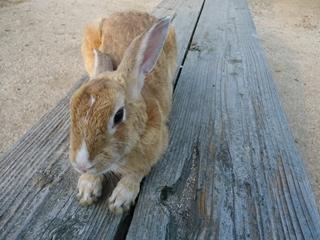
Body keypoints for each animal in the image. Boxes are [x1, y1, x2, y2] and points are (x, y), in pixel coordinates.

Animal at [69, 11, 178, 214]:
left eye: (118, 115)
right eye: (71, 107)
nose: (81, 165)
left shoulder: (156, 149)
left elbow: (137, 172)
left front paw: (120, 200)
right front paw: (87, 188)